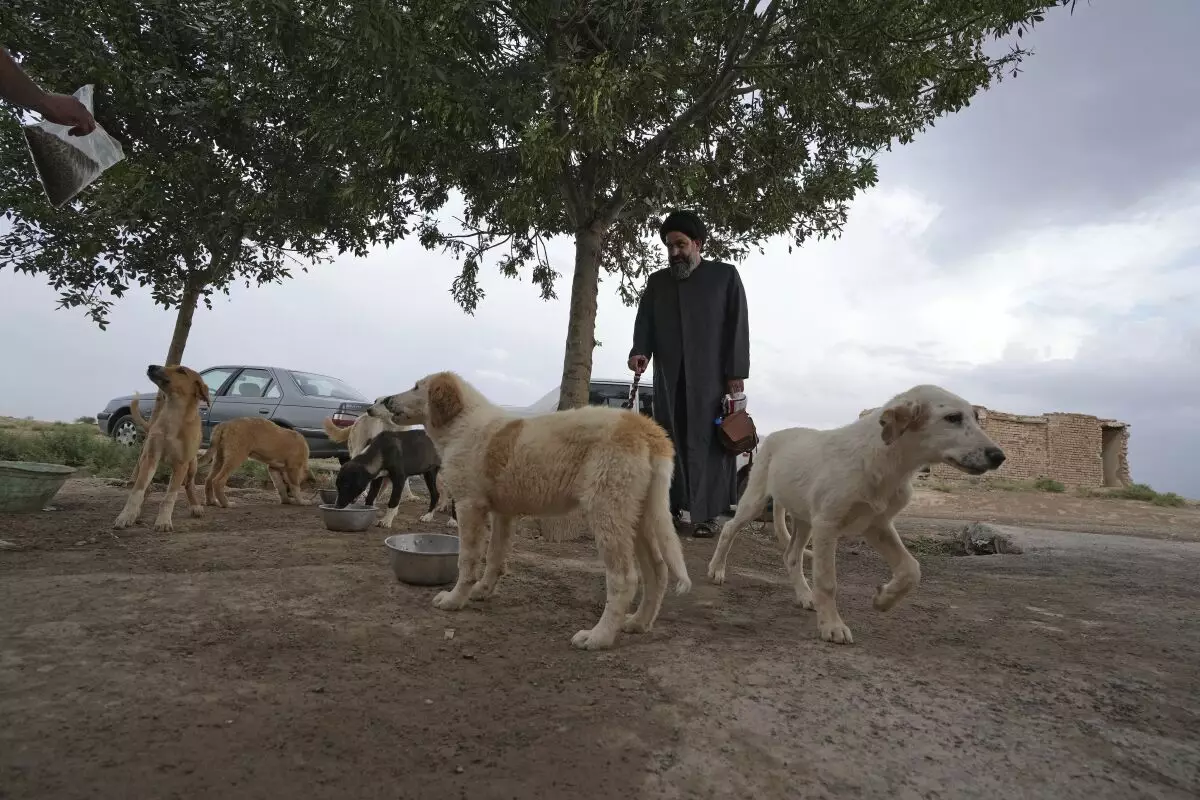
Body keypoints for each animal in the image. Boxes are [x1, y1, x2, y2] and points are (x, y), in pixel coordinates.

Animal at [113, 367, 210, 534]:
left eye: (181, 371)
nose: (151, 366)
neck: (173, 415)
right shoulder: (151, 457)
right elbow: (137, 491)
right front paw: (126, 516)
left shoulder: (181, 464)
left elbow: (169, 498)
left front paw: (163, 521)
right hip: (144, 460)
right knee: (146, 488)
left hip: (192, 465)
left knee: (189, 484)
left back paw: (195, 506)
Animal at [367, 369, 696, 652]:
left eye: (416, 387)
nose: (386, 400)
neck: (462, 424)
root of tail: (647, 428)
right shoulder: (502, 513)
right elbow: (495, 557)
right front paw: (482, 591)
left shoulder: (469, 506)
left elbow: (468, 560)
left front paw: (455, 599)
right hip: (639, 516)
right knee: (658, 571)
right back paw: (638, 623)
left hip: (608, 512)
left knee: (625, 579)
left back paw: (598, 637)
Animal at [700, 383, 1003, 647]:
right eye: (952, 418)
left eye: (976, 418)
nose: (999, 456)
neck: (888, 463)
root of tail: (776, 434)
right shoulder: (828, 525)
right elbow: (827, 582)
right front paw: (832, 626)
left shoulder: (877, 525)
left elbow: (911, 569)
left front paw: (884, 600)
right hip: (756, 499)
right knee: (730, 529)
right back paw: (716, 570)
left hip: (805, 519)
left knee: (791, 555)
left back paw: (805, 595)